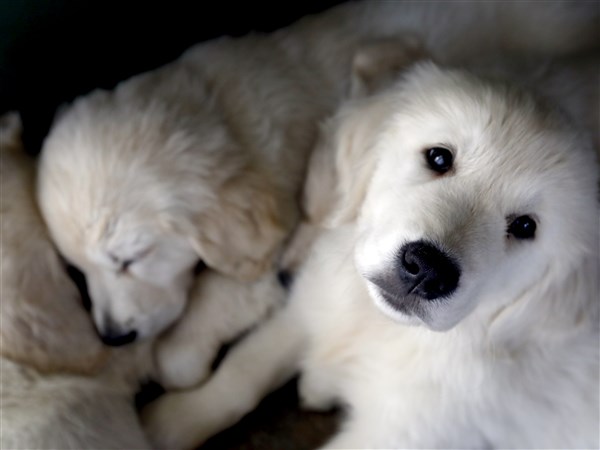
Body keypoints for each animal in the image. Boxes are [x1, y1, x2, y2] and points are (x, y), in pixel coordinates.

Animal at [36, 1, 599, 347]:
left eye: (130, 259)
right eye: (75, 269)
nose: (112, 338)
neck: (226, 112)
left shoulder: (269, 259)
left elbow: (219, 297)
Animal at [141, 50, 600, 449]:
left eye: (525, 227)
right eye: (438, 158)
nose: (429, 269)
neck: (380, 326)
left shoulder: (401, 432)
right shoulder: (312, 304)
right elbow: (243, 370)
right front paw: (171, 420)